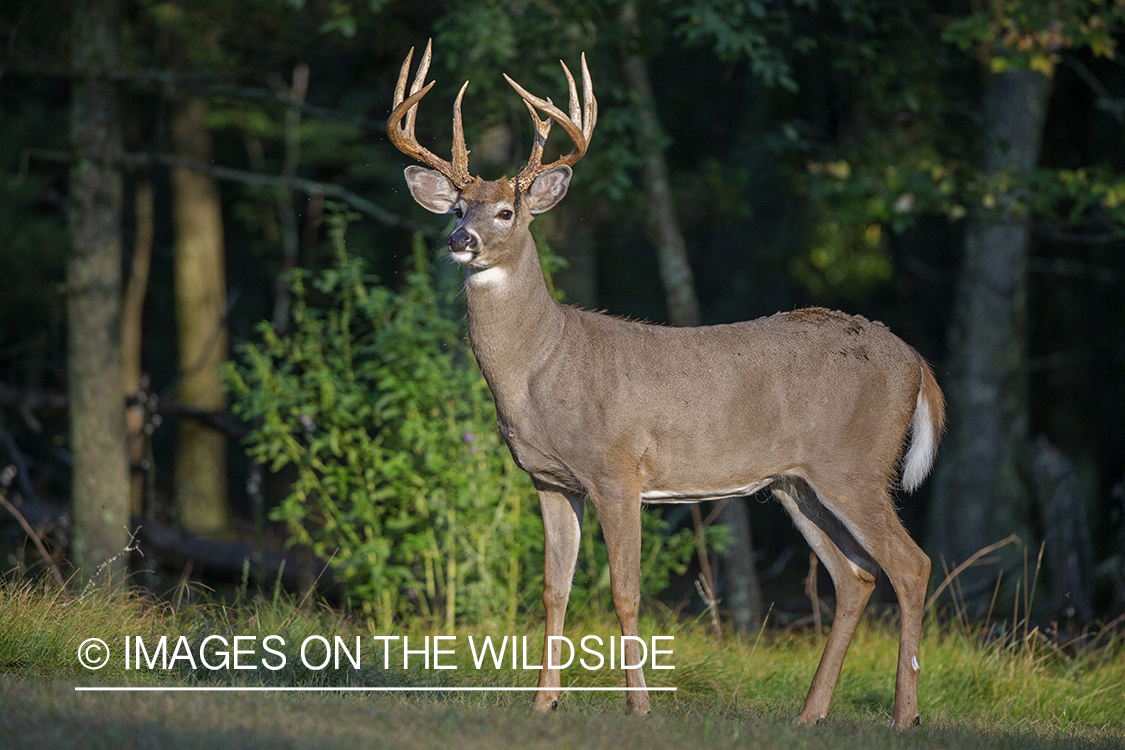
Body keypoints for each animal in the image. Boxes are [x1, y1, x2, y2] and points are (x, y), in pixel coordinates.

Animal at [391, 39, 945, 728]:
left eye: (506, 211)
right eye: (457, 206)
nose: (459, 238)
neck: (544, 364)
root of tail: (916, 361)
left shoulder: (617, 471)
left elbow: (625, 591)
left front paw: (638, 706)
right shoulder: (550, 480)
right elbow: (553, 591)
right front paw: (544, 702)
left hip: (856, 463)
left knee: (911, 565)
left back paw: (904, 716)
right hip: (798, 483)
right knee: (857, 577)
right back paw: (809, 715)